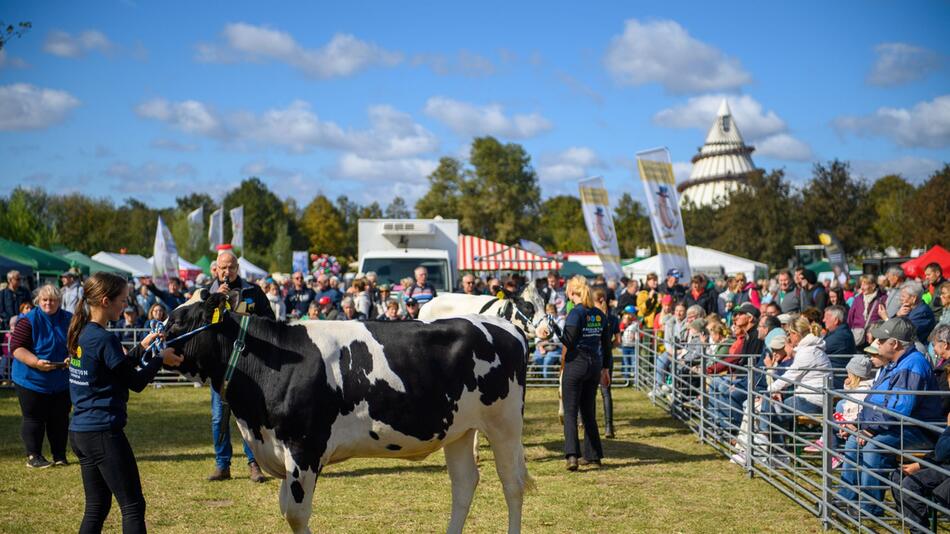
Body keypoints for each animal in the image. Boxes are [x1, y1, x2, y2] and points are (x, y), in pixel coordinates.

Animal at [166, 294, 532, 534]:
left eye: (178, 322)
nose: (154, 342)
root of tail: (503, 324)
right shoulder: (281, 450)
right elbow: (286, 509)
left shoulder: (304, 449)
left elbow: (296, 514)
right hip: (459, 430)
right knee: (464, 484)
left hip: (505, 424)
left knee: (512, 485)